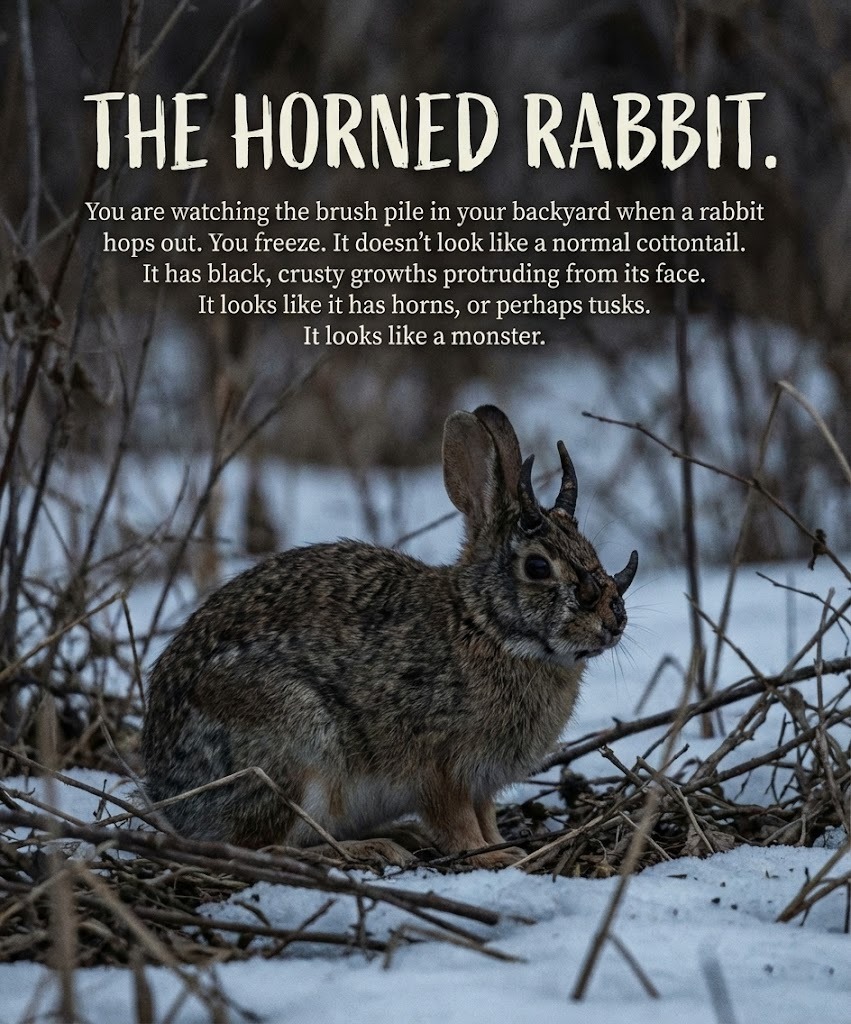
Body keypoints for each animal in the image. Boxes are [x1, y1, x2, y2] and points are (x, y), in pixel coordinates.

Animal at [142, 405, 638, 868]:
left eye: (589, 550)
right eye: (537, 567)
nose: (614, 621)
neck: (484, 624)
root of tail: (168, 792)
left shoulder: (480, 782)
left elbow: (485, 814)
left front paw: (502, 845)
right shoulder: (439, 766)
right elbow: (456, 819)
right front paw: (487, 856)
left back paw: (401, 835)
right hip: (296, 751)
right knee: (261, 846)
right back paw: (370, 849)